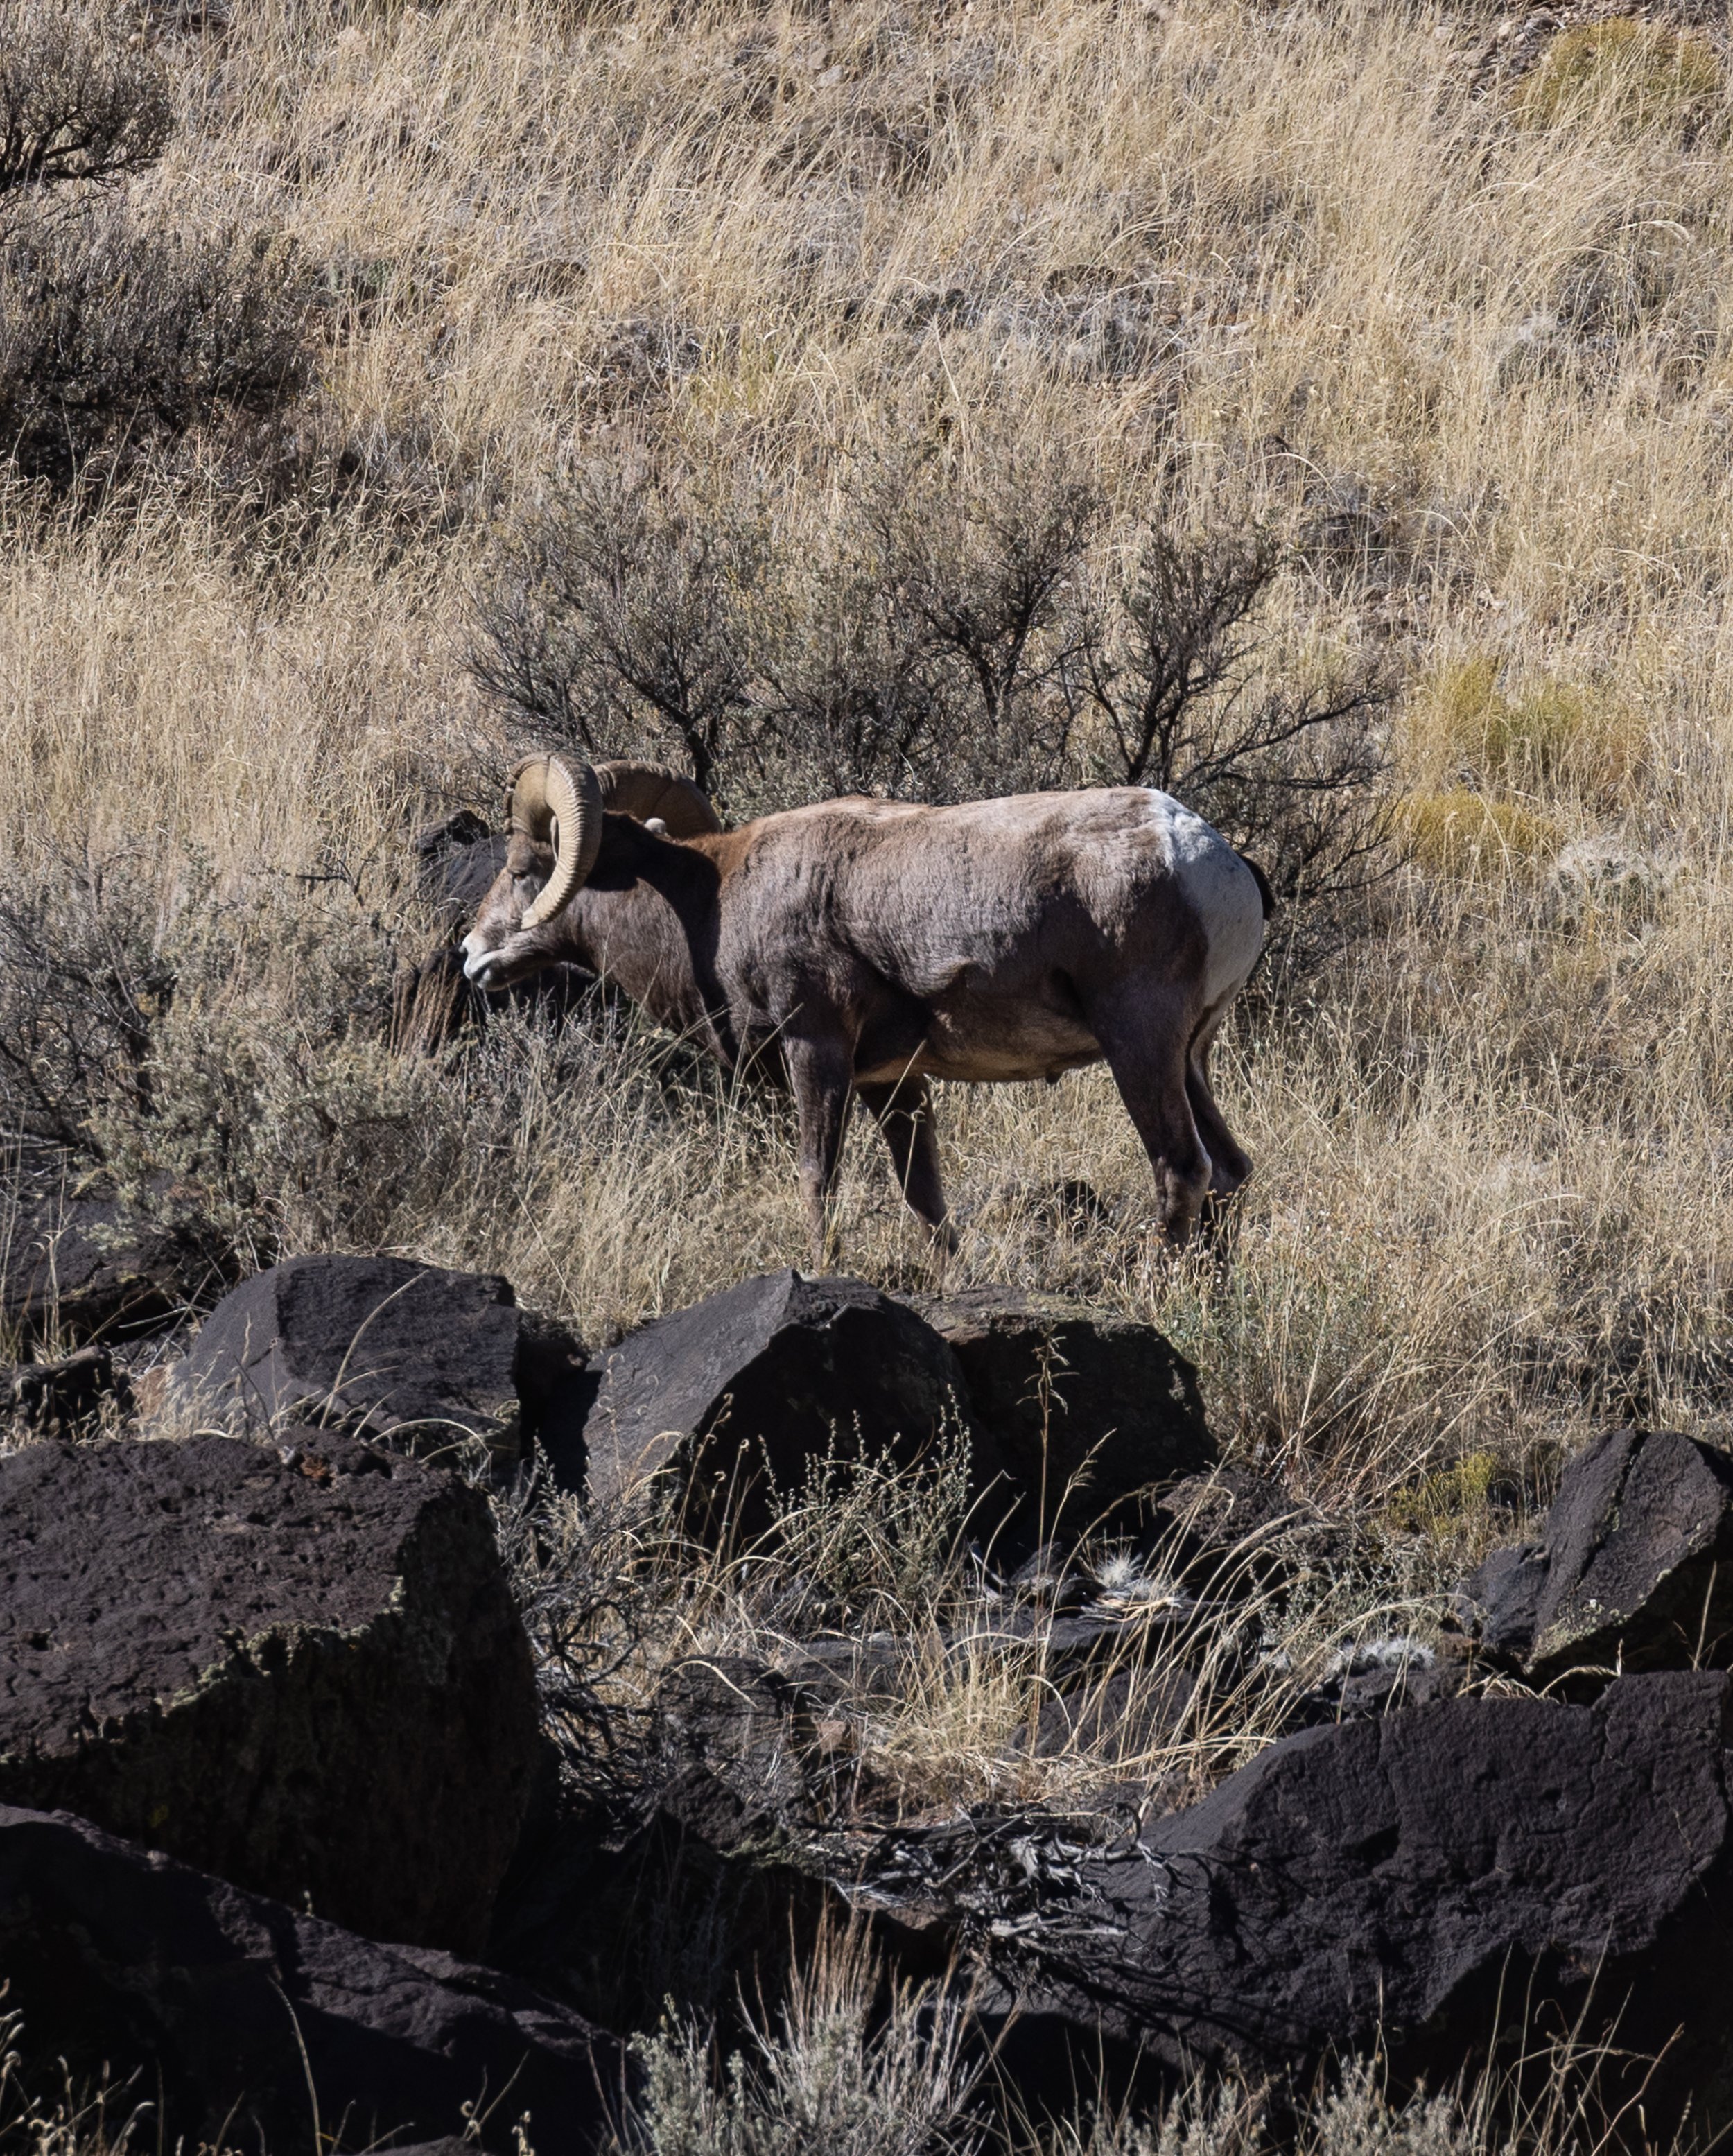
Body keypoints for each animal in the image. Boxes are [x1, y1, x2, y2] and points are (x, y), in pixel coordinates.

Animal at [461, 758, 1275, 1259]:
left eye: (524, 868)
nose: (472, 955)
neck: (714, 900)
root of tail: (1211, 858)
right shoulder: (895, 1082)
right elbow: (926, 1201)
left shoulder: (816, 1050)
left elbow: (817, 1178)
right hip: (1189, 1058)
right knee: (1229, 1169)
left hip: (1138, 1046)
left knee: (1181, 1170)